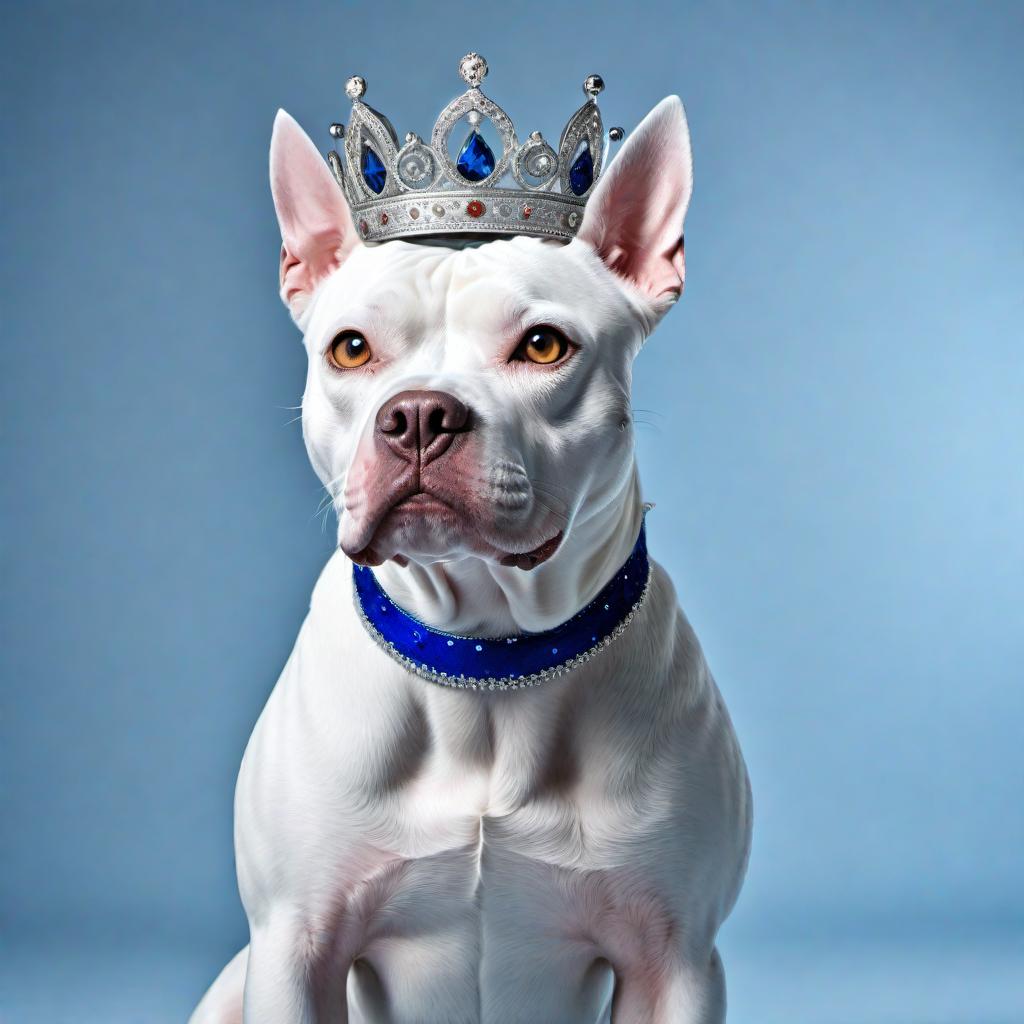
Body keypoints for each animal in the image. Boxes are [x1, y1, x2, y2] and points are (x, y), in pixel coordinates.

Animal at [192, 92, 753, 1019]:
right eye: (351, 348)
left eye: (544, 345)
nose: (419, 414)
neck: (486, 661)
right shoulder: (294, 947)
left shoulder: (674, 960)